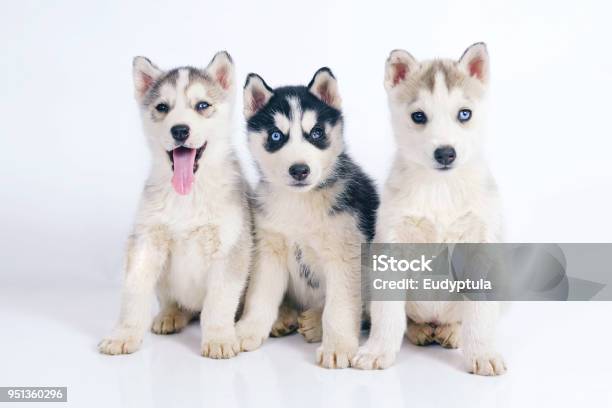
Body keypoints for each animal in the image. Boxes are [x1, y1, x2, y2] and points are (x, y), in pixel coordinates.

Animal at [99, 51, 252, 360]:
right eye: (162, 107)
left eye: (202, 105)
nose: (180, 130)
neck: (187, 195)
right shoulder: (145, 242)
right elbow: (133, 294)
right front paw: (124, 335)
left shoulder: (230, 246)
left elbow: (218, 303)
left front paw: (219, 338)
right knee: (176, 303)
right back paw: (171, 314)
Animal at [234, 68, 378, 368]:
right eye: (276, 136)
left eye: (317, 132)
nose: (299, 170)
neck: (299, 203)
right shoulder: (269, 249)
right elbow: (259, 295)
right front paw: (247, 330)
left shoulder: (344, 254)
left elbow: (339, 307)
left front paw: (337, 345)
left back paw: (313, 322)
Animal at [352, 43, 510, 374]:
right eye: (418, 116)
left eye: (464, 114)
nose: (445, 153)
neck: (441, 187)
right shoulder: (392, 247)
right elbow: (387, 313)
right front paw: (377, 350)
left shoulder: (480, 247)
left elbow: (479, 313)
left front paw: (482, 353)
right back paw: (420, 330)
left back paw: (452, 332)